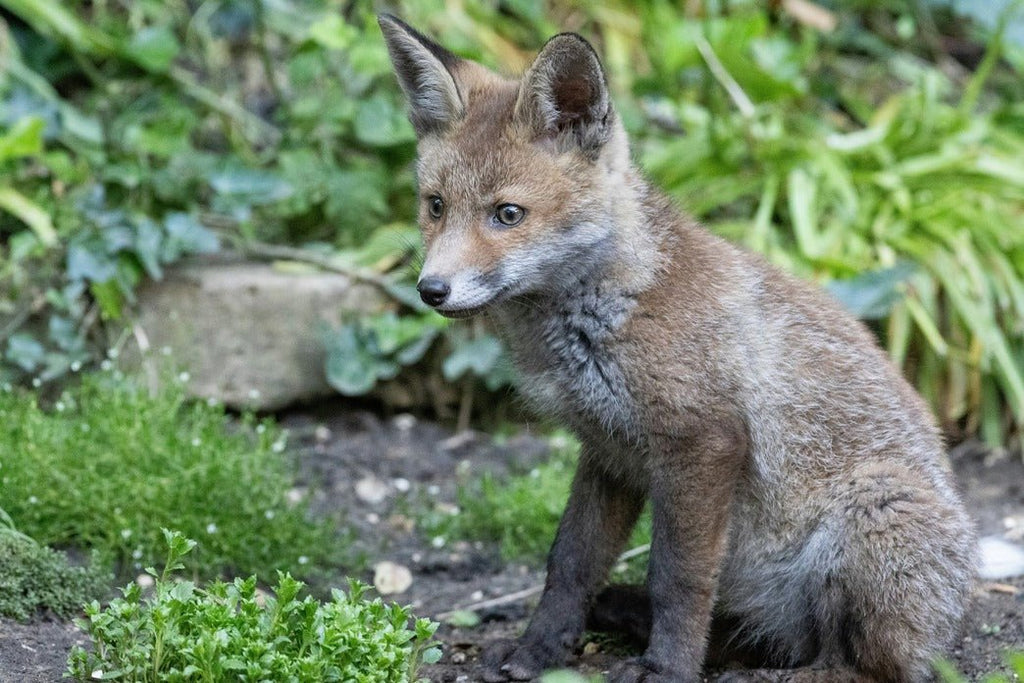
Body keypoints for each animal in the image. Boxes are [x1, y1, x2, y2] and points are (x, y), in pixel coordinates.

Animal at [379, 14, 976, 683]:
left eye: (508, 214)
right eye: (435, 206)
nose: (431, 289)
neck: (605, 316)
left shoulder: (703, 443)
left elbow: (678, 578)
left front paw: (667, 668)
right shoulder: (608, 452)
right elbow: (570, 565)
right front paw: (539, 650)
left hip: (872, 514)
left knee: (867, 666)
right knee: (753, 636)